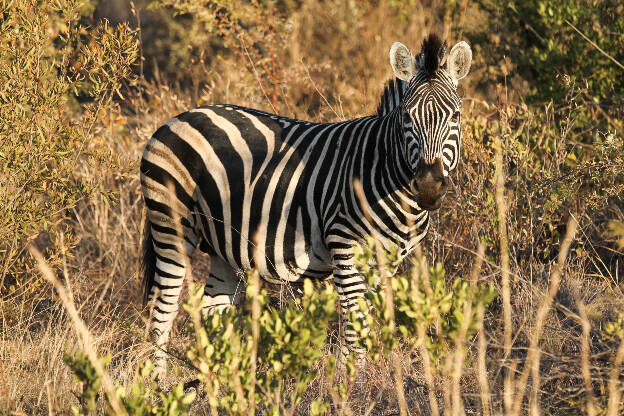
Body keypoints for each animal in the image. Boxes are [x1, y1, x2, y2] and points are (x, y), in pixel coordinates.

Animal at [140, 34, 472, 376]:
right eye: (407, 117)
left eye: (456, 116)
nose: (429, 186)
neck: (382, 168)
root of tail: (179, 117)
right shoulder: (345, 247)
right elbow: (353, 330)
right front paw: (349, 383)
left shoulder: (386, 263)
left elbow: (365, 327)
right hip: (171, 226)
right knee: (161, 311)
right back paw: (158, 382)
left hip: (223, 247)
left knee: (213, 316)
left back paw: (221, 381)